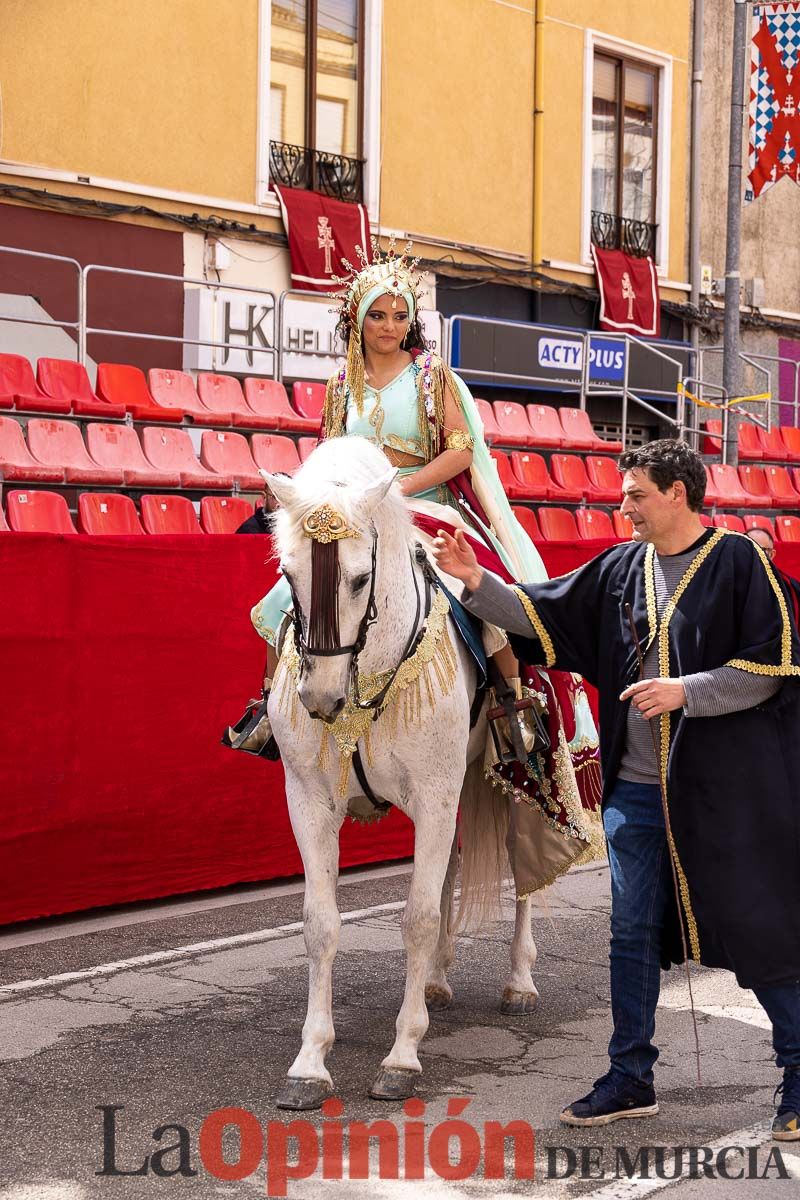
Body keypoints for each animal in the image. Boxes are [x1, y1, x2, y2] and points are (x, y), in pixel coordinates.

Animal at [263, 436, 537, 1108]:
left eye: (361, 578)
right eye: (288, 574)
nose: (321, 699)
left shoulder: (435, 793)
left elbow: (416, 917)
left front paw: (403, 1056)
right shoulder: (309, 800)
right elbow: (322, 923)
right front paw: (310, 1063)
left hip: (511, 785)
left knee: (521, 873)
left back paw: (519, 982)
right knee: (448, 874)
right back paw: (436, 980)